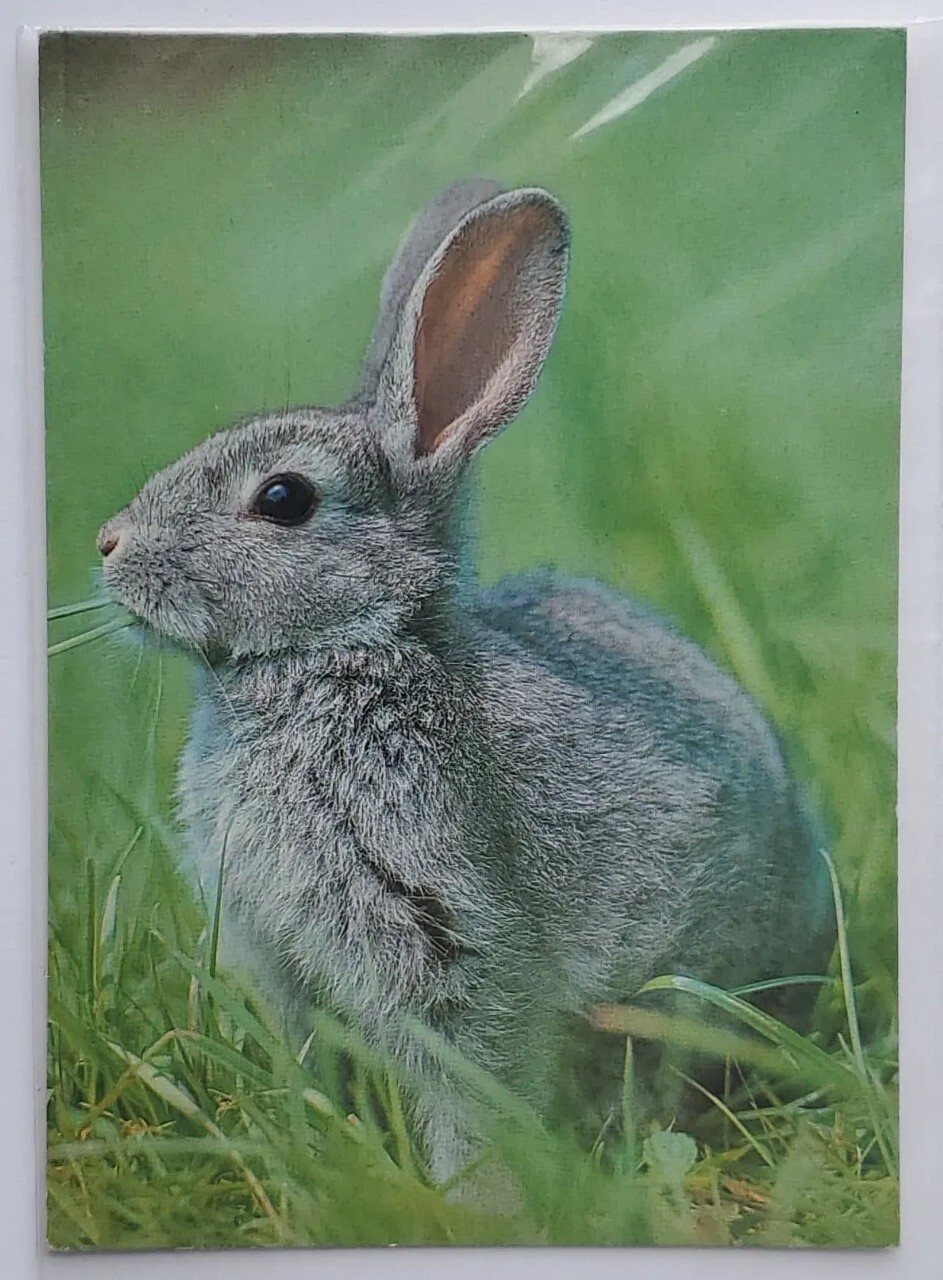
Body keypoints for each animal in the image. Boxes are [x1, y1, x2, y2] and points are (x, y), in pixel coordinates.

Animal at [97, 177, 835, 1184]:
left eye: (283, 499)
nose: (108, 546)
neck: (351, 648)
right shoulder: (284, 960)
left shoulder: (450, 939)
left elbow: (472, 1087)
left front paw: (469, 1197)